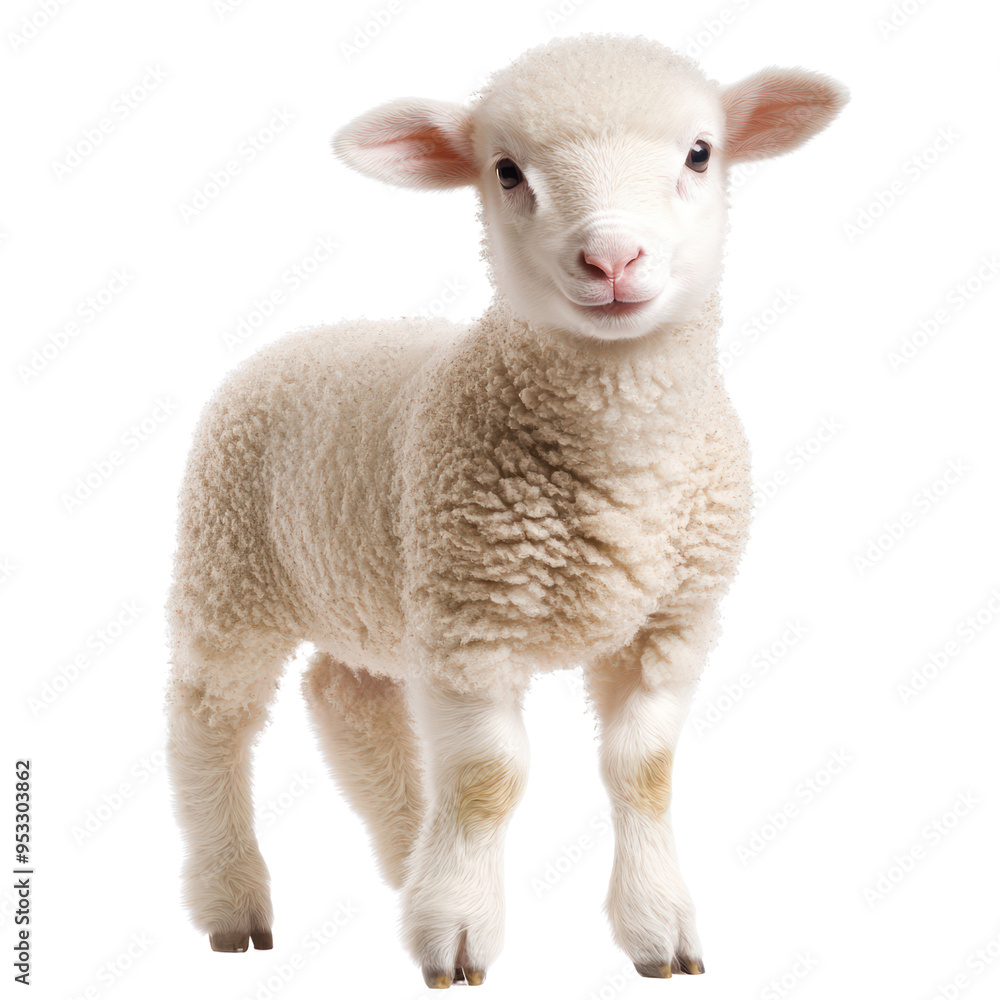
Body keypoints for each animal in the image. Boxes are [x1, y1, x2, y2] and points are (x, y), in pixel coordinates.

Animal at [165, 33, 847, 987]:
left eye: (700, 153)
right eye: (508, 171)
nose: (613, 261)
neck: (621, 463)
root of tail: (308, 335)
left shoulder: (672, 622)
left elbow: (644, 770)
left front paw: (657, 929)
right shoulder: (472, 623)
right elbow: (489, 779)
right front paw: (458, 930)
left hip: (375, 594)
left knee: (345, 695)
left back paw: (409, 860)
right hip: (229, 570)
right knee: (209, 721)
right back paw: (234, 902)